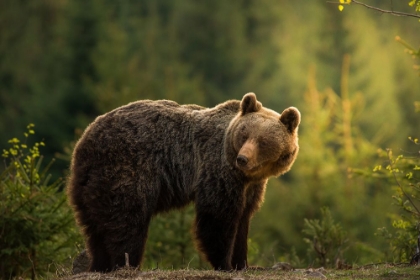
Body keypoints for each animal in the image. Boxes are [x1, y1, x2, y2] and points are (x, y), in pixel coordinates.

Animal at [67, 93, 300, 272]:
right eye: (244, 134)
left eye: (263, 141)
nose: (242, 159)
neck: (246, 175)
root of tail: (85, 140)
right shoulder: (217, 169)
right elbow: (218, 217)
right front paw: (224, 264)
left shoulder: (251, 187)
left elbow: (243, 219)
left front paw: (243, 263)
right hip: (126, 170)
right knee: (127, 221)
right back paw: (126, 264)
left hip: (90, 183)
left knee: (94, 226)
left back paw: (99, 264)